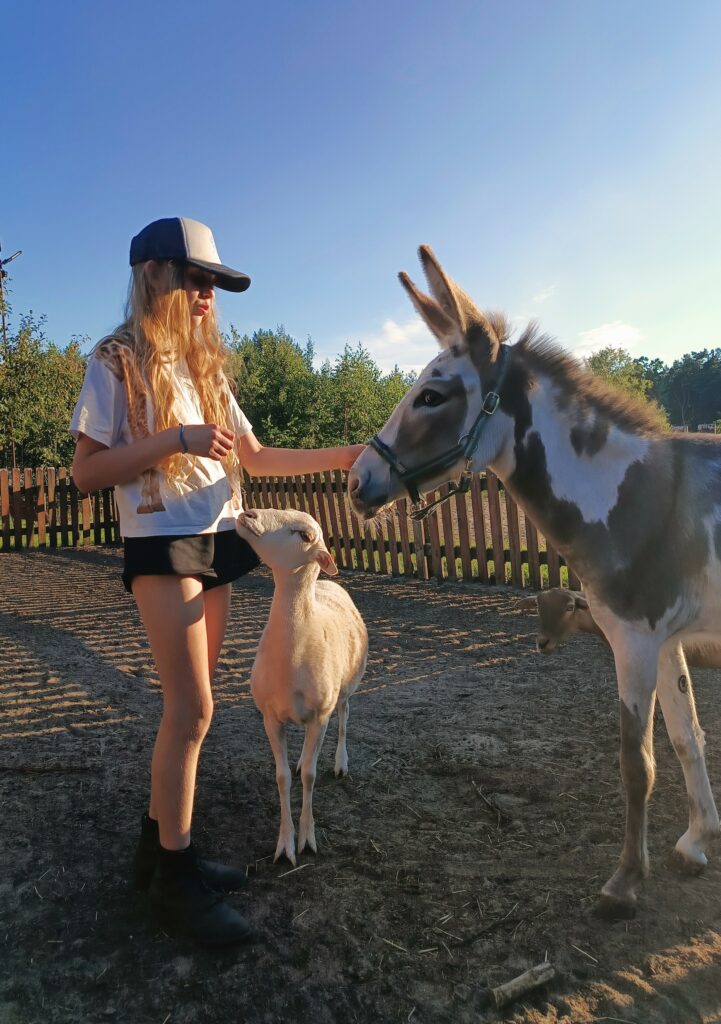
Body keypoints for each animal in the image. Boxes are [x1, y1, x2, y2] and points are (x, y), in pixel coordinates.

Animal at [236, 507, 368, 865]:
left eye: (305, 535)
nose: (247, 513)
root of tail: (328, 582)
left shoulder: (320, 715)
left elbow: (310, 774)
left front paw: (307, 838)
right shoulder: (270, 717)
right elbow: (282, 777)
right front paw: (285, 843)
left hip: (346, 688)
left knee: (345, 716)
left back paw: (340, 762)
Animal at [348, 245, 721, 918]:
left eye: (432, 396)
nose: (355, 482)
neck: (628, 497)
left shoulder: (634, 641)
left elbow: (637, 763)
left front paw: (625, 882)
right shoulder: (668, 640)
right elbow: (688, 740)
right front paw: (697, 841)